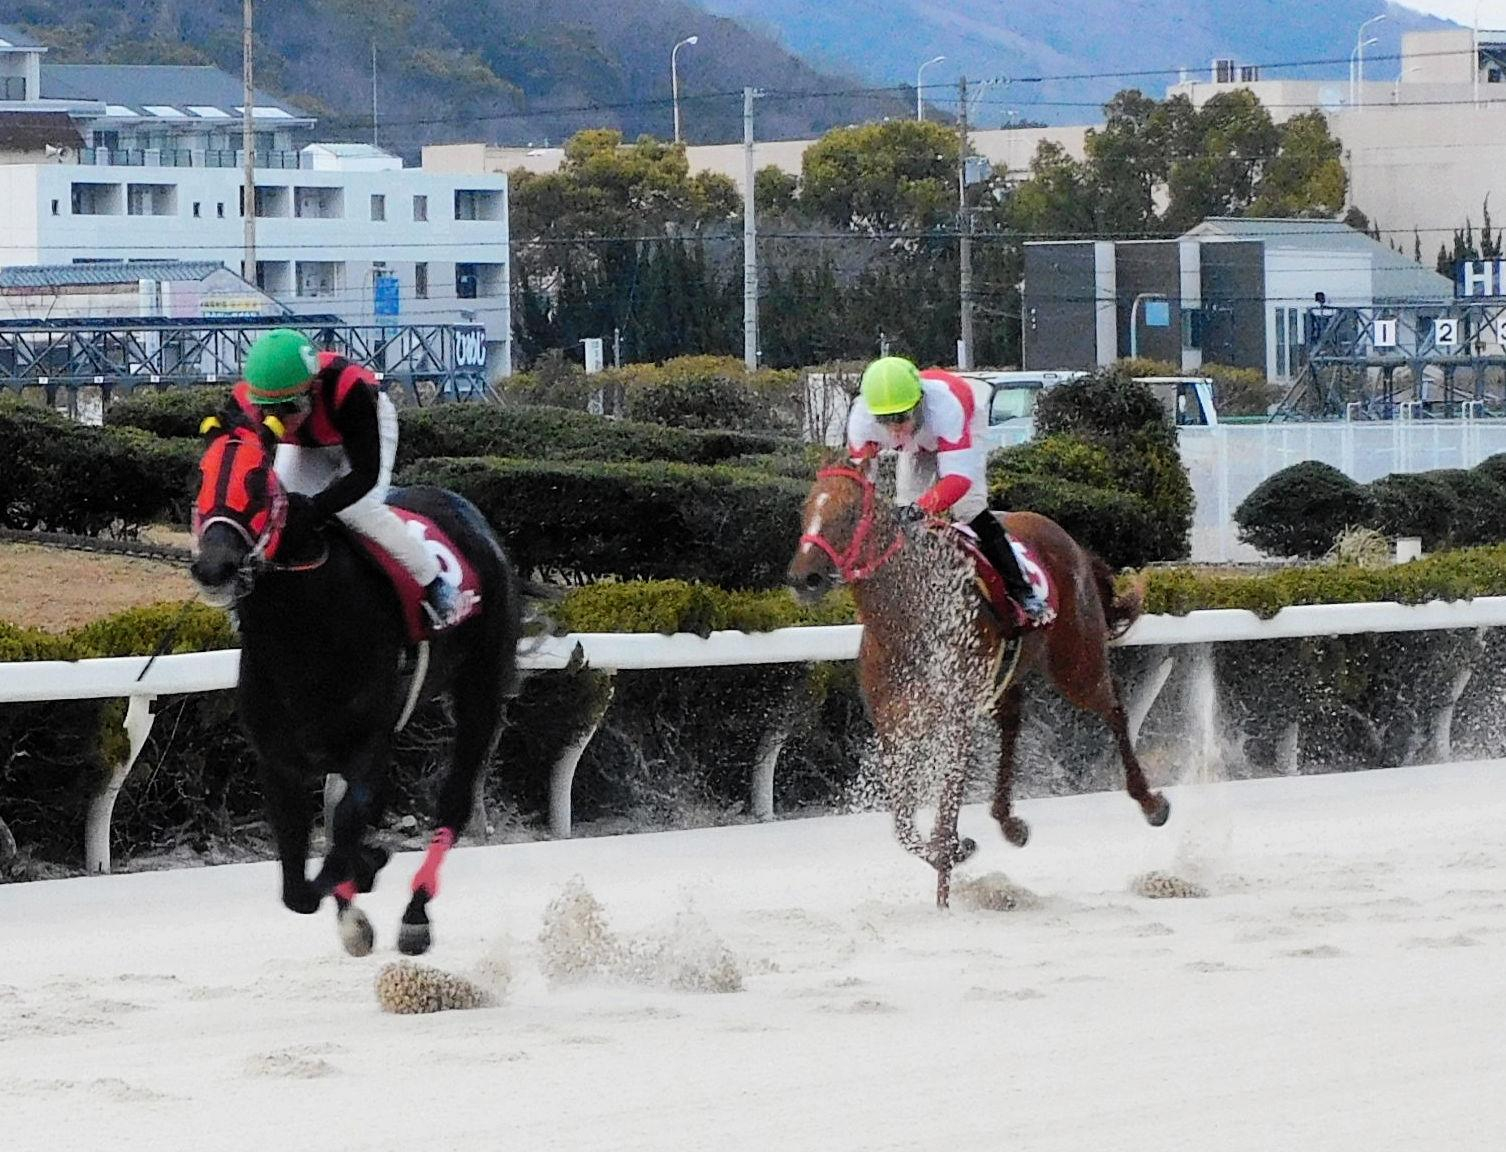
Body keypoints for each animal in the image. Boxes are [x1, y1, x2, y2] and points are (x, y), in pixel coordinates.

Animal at [191, 418, 521, 957]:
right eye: (201, 475)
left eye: (258, 481)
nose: (213, 567)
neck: (305, 628)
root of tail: (470, 514)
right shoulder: (278, 760)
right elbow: (299, 884)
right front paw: (358, 888)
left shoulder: (368, 742)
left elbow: (343, 830)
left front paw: (368, 869)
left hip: (482, 687)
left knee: (453, 799)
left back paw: (415, 915)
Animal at [783, 463, 1168, 903]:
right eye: (805, 510)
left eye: (848, 514)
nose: (804, 578)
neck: (908, 617)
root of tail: (1070, 542)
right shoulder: (895, 728)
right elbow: (903, 824)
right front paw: (953, 851)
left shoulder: (956, 718)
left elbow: (944, 807)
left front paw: (946, 883)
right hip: (1012, 672)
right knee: (1013, 722)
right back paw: (1008, 821)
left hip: (1077, 662)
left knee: (1114, 709)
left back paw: (1151, 803)